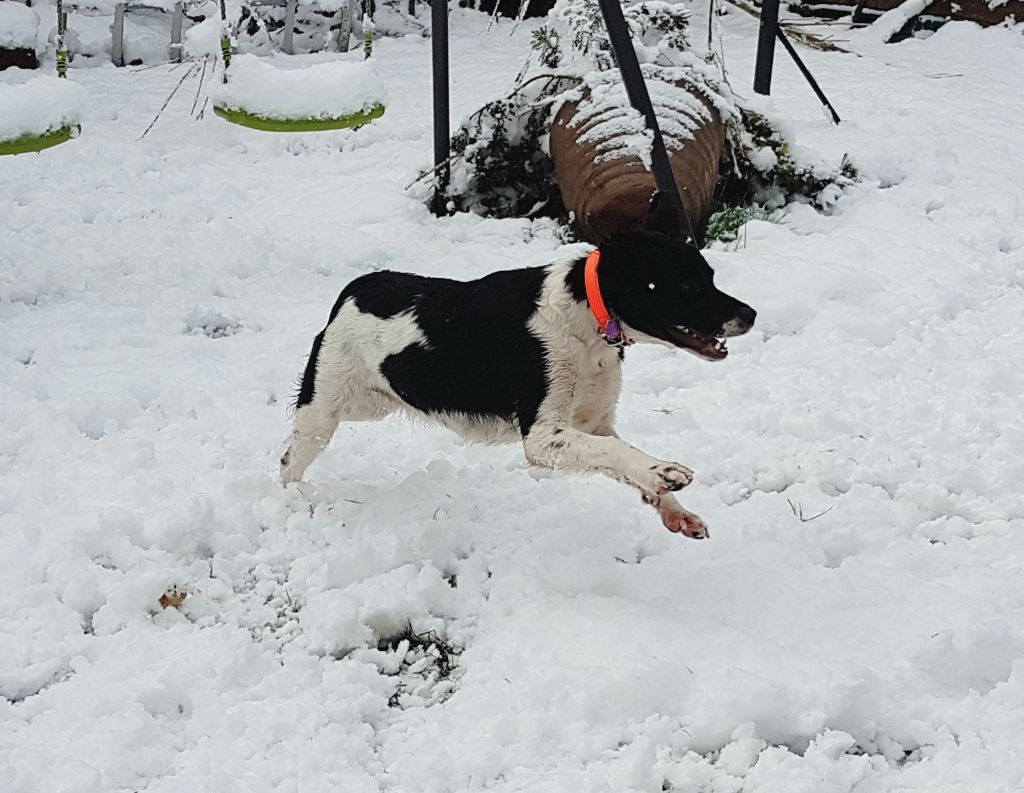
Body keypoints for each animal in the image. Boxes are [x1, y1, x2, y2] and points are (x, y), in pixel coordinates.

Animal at [280, 232, 753, 536]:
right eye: (688, 284)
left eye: (710, 276)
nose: (750, 315)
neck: (586, 314)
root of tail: (352, 290)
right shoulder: (542, 437)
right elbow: (618, 453)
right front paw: (666, 471)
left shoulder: (592, 424)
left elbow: (618, 455)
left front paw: (673, 507)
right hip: (323, 410)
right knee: (289, 461)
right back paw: (290, 503)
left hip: (370, 404)